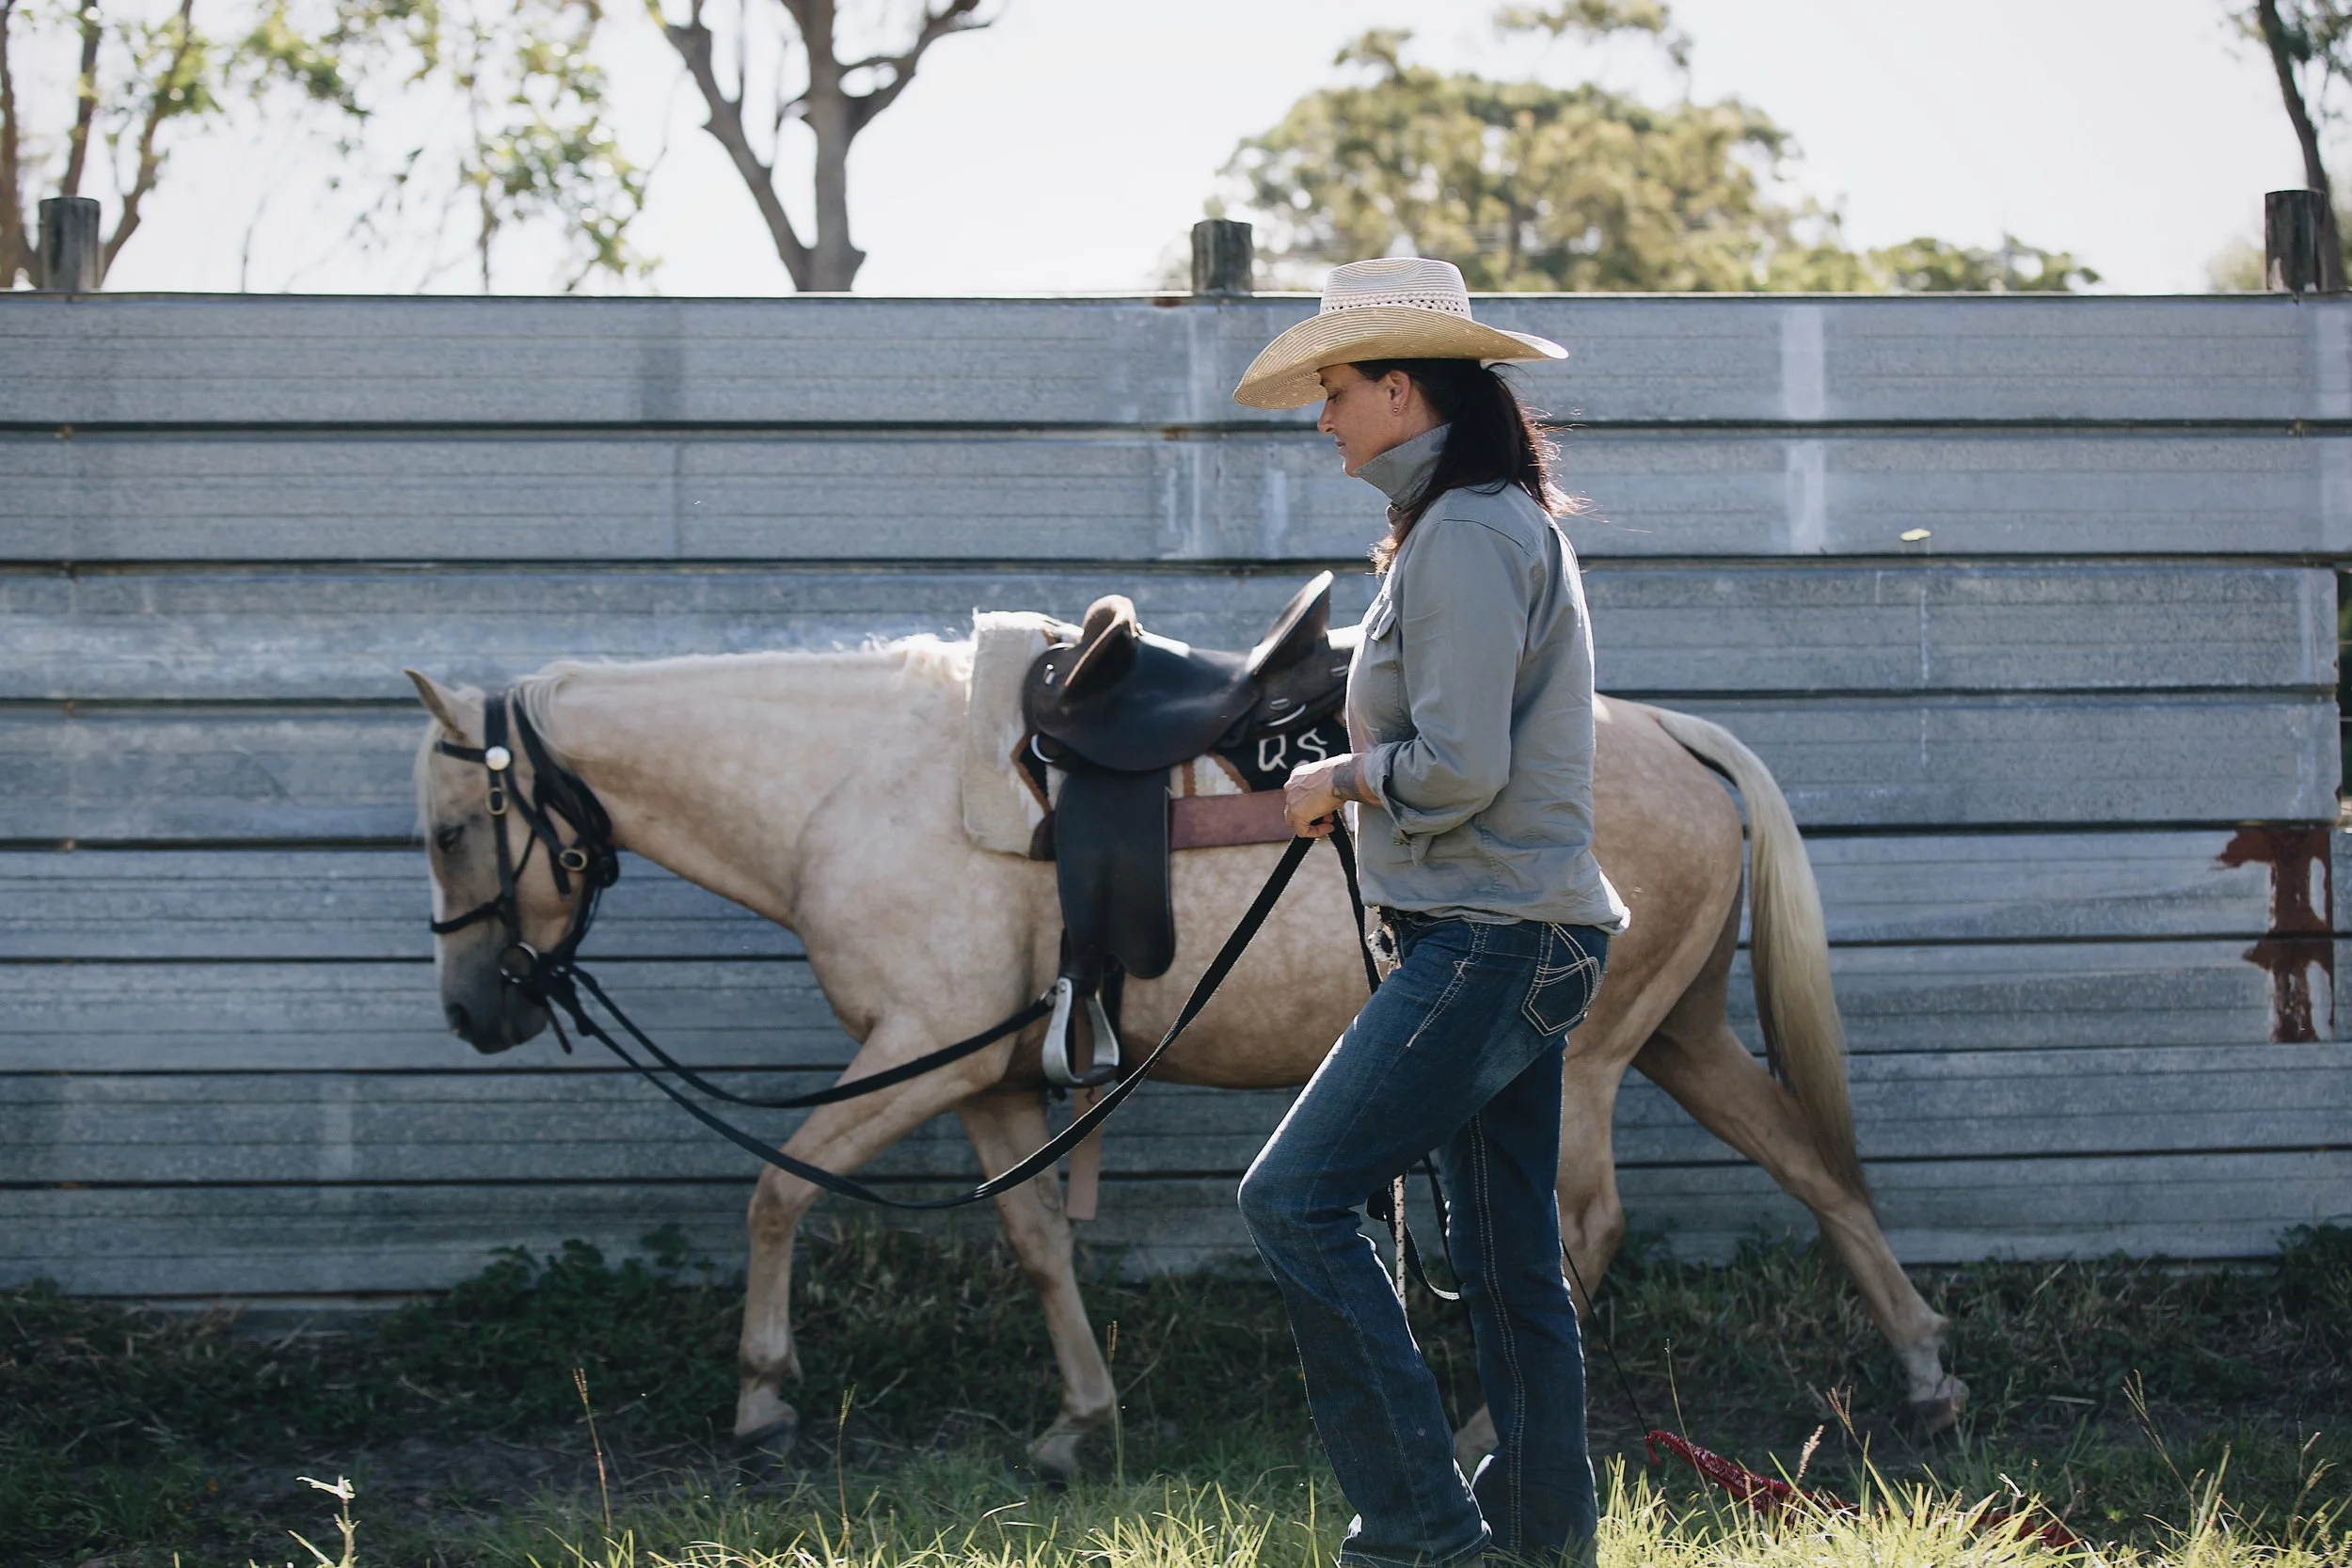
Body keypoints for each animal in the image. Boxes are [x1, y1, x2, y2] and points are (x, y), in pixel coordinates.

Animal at [405, 633, 1967, 1480]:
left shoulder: (917, 1050)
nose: (472, 1009)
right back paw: (1924, 1372)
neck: (852, 783)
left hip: (1573, 1064)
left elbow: (778, 1190)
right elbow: (1036, 1239)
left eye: (449, 828)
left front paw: (762, 1403)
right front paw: (1076, 1422)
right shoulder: (989, 1077)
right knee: (1815, 1168)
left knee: (1587, 1229)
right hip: (1681, 1034)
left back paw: (1477, 1430)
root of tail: (1684, 740)